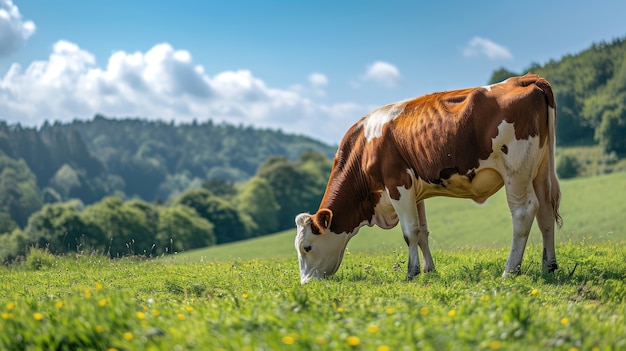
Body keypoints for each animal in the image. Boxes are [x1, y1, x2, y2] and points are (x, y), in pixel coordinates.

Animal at [292, 74, 560, 286]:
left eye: (306, 247)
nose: (305, 283)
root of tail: (524, 79)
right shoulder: (415, 191)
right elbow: (422, 232)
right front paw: (429, 270)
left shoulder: (397, 184)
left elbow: (409, 232)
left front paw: (411, 273)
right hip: (540, 170)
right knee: (545, 212)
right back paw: (549, 266)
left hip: (516, 170)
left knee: (524, 212)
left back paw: (509, 270)